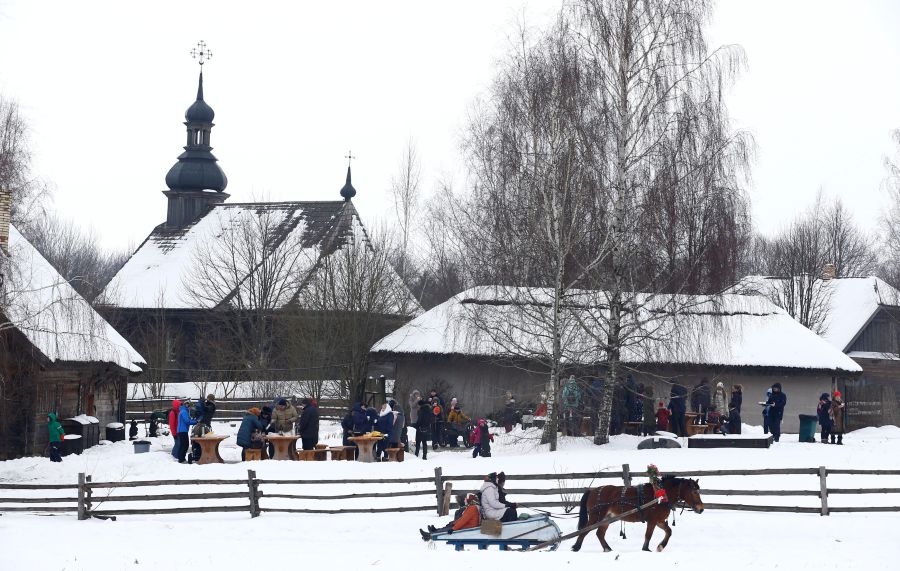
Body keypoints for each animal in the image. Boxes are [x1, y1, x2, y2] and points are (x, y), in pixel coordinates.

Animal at [568, 478, 704, 556]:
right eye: (694, 491)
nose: (701, 509)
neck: (661, 496)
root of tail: (592, 491)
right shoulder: (652, 521)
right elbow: (648, 535)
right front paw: (645, 549)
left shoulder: (659, 521)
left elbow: (669, 531)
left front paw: (660, 546)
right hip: (596, 516)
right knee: (584, 531)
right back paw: (576, 548)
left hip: (606, 519)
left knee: (599, 534)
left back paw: (608, 549)